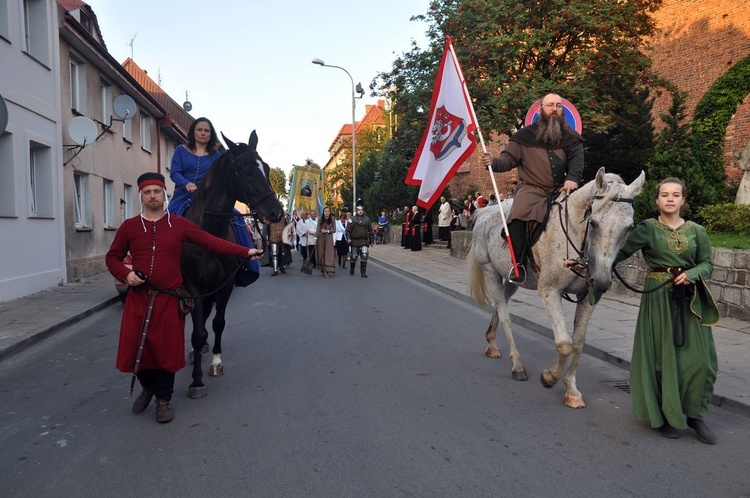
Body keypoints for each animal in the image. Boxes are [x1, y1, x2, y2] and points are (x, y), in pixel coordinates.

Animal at [182, 131, 284, 396]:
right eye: (247, 171)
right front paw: (196, 380)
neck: (209, 233)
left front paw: (216, 363)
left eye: (266, 168)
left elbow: (218, 323)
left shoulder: (224, 285)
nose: (276, 213)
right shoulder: (195, 287)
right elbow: (197, 331)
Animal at [468, 168, 644, 408]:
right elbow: (564, 344)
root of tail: (486, 212)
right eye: (593, 223)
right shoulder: (550, 292)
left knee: (499, 304)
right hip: (490, 272)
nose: (601, 281)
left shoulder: (587, 298)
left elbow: (577, 343)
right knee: (504, 315)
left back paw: (492, 344)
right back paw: (517, 365)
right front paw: (550, 377)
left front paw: (571, 390)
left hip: (513, 280)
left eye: (629, 227)